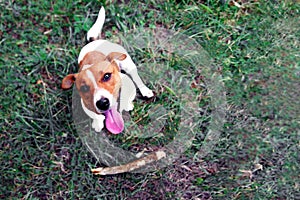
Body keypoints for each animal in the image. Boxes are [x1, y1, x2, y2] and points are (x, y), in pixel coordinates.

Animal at [61, 6, 154, 134]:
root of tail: (94, 40)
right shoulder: (86, 105)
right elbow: (96, 115)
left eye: (107, 76)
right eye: (84, 88)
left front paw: (128, 105)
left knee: (136, 78)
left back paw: (145, 90)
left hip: (128, 64)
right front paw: (98, 122)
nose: (102, 103)